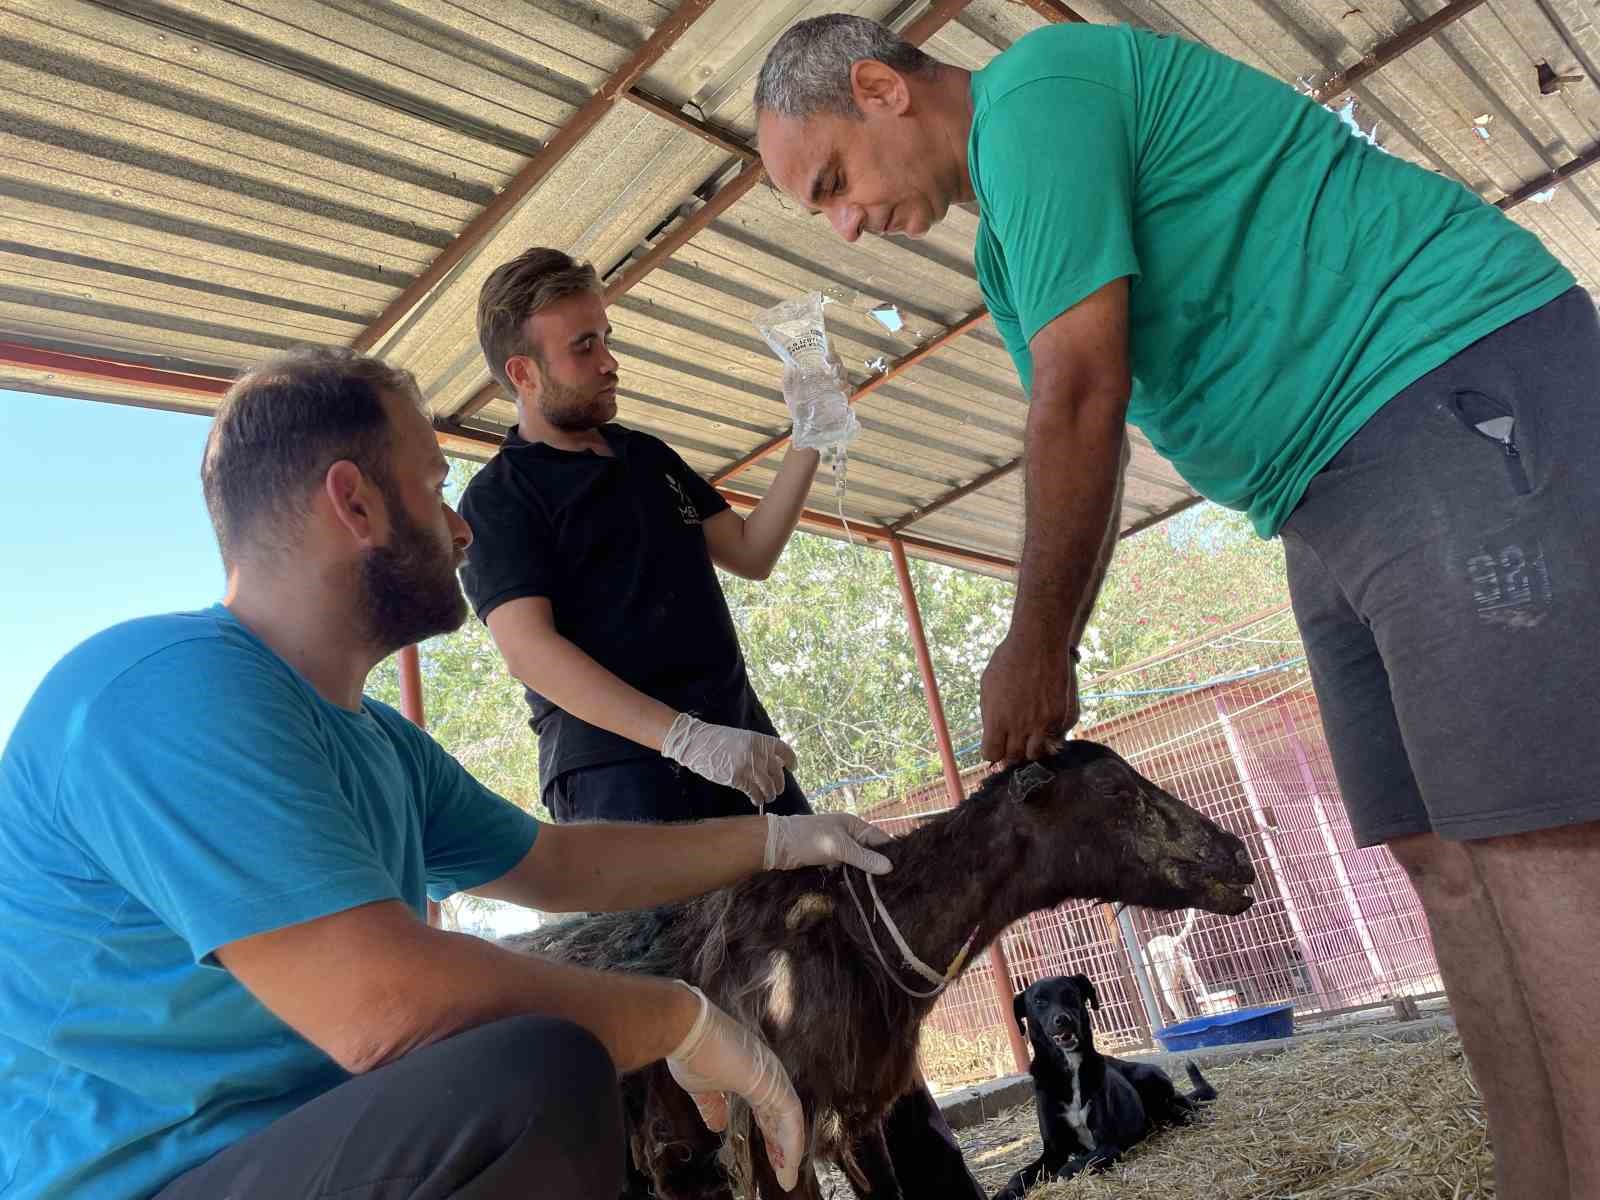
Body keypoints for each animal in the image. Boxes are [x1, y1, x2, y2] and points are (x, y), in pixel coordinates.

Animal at [992, 972, 1216, 1196]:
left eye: (1070, 994)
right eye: (1039, 1001)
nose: (1063, 1019)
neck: (1070, 1067)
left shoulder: (1108, 1145)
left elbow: (1071, 1167)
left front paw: (1057, 1181)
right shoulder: (1053, 1152)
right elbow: (1020, 1174)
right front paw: (1006, 1192)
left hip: (1148, 1077)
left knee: (1184, 1107)